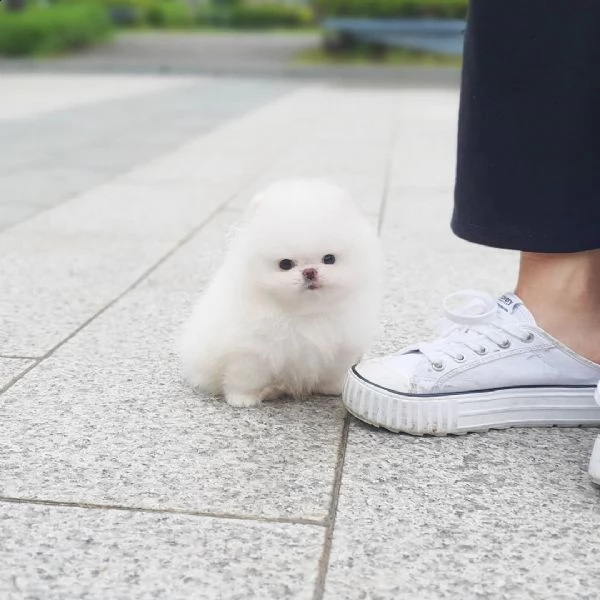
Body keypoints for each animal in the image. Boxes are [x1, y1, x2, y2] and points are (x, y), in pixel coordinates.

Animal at [180, 178, 382, 408]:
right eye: (285, 264)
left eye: (329, 259)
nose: (310, 272)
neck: (306, 314)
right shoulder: (250, 352)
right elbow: (245, 378)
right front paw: (242, 399)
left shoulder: (340, 347)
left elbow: (333, 371)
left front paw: (331, 388)